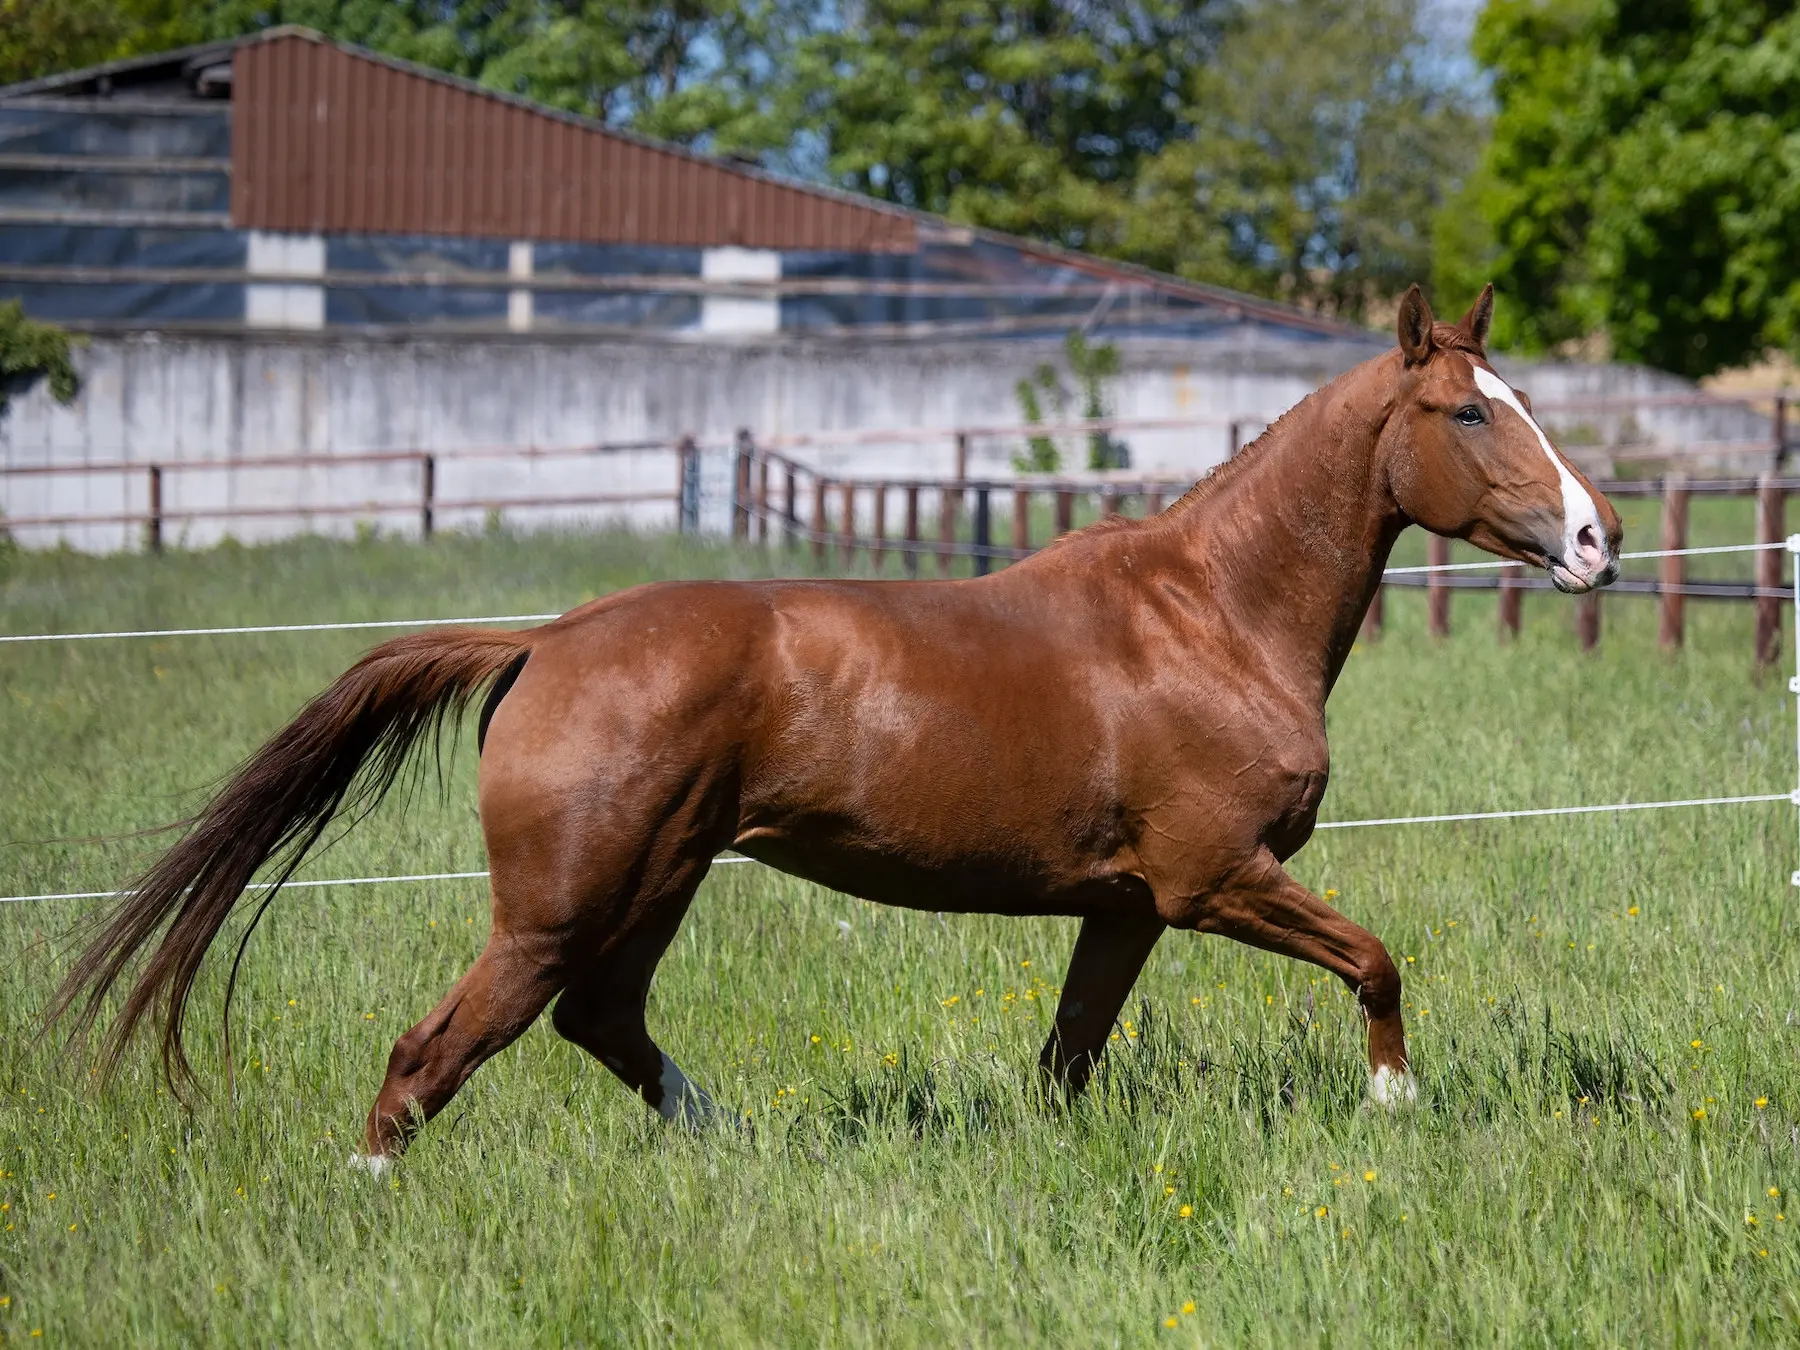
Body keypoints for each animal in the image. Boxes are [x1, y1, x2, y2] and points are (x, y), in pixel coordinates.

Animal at [56, 288, 1627, 1173]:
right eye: (1469, 410)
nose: (1596, 542)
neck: (1213, 615)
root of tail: (546, 640)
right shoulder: (1214, 879)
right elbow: (1376, 960)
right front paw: (1396, 1113)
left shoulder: (1126, 906)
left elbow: (1067, 1057)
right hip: (560, 904)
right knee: (430, 1056)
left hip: (660, 882)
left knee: (600, 1024)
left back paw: (734, 1144)